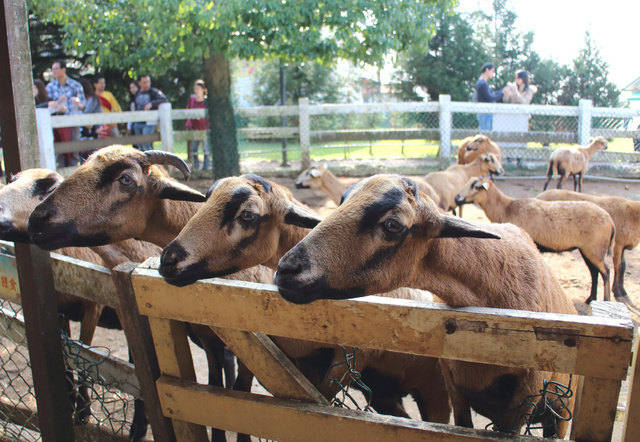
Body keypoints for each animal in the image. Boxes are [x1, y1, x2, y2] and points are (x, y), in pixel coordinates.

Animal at [159, 174, 450, 424]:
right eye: (206, 200)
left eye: (248, 215)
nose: (167, 260)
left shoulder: (345, 364)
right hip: (385, 391)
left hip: (433, 389)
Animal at [274, 174, 576, 436]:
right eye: (343, 200)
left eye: (392, 225)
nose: (286, 270)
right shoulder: (453, 382)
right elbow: (463, 425)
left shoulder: (528, 390)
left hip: (562, 410)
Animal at [456, 178, 616, 302]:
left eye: (476, 186)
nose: (457, 198)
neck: (507, 208)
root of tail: (610, 221)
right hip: (588, 250)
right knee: (594, 272)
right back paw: (590, 298)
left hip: (595, 249)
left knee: (606, 272)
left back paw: (605, 299)